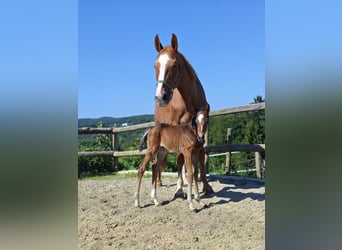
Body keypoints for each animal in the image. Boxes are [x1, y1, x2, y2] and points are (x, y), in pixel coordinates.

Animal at [154, 32, 212, 193]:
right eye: (155, 65)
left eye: (174, 65)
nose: (160, 97)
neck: (190, 100)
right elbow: (179, 159)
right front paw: (180, 187)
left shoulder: (202, 127)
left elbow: (201, 157)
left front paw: (206, 185)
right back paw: (161, 181)